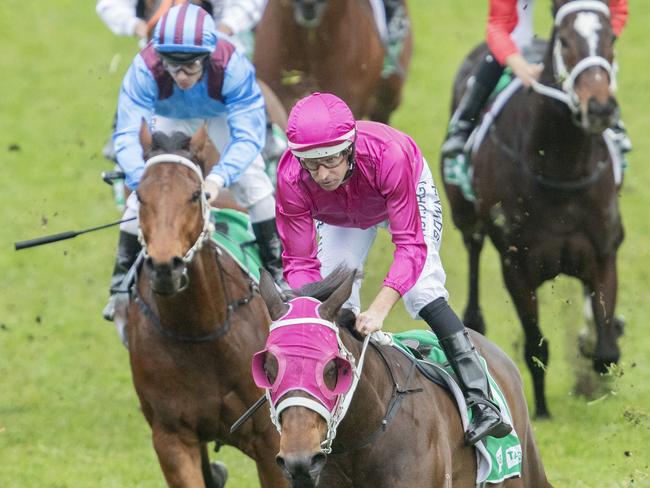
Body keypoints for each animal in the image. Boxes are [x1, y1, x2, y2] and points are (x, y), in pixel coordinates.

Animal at [126, 124, 286, 486]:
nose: (165, 267)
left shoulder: (269, 438)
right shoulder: (172, 437)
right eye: (140, 196)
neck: (200, 331)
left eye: (193, 194)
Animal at [440, 0, 624, 420]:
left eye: (610, 37)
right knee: (473, 248)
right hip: (466, 216)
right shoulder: (517, 265)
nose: (600, 107)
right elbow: (536, 347)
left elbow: (606, 350)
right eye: (567, 41)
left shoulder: (603, 253)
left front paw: (596, 368)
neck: (562, 165)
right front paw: (540, 410)